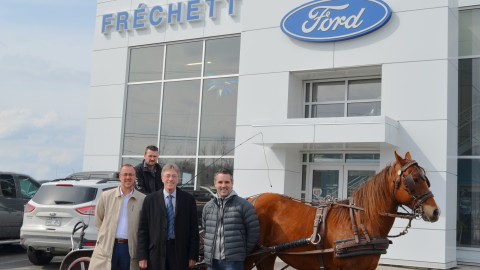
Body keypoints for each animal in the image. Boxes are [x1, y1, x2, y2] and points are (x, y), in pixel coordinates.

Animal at [246, 152, 440, 270]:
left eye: (425, 178)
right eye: (414, 179)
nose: (435, 211)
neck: (362, 222)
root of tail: (251, 199)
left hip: (267, 255)